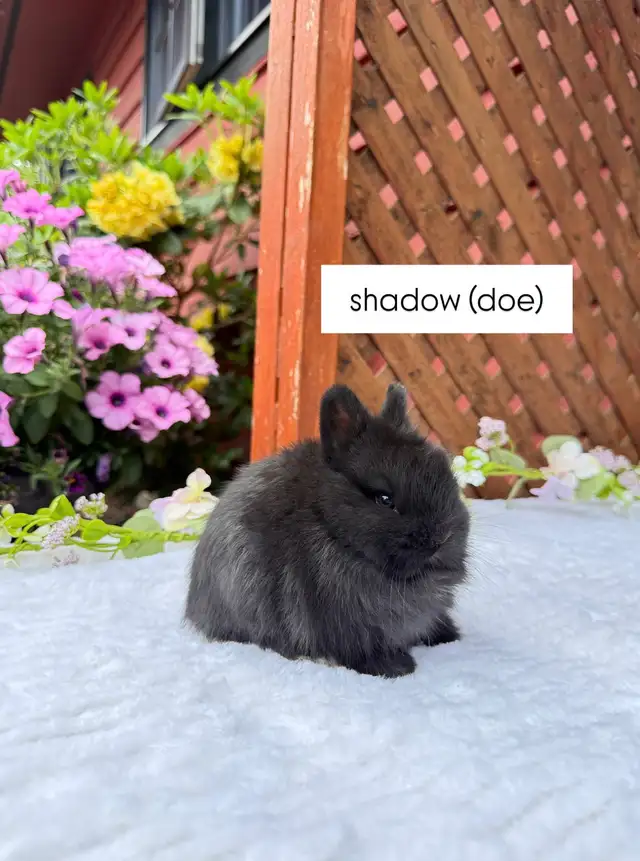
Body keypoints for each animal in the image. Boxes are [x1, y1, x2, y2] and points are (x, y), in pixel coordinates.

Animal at [185, 382, 470, 678]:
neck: (334, 532)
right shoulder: (343, 621)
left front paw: (449, 636)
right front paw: (397, 667)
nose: (440, 539)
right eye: (384, 499)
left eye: (445, 473)